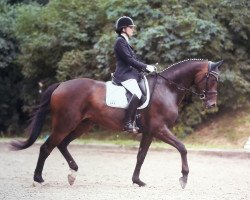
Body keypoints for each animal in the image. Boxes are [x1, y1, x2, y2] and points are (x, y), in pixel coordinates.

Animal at [10, 58, 224, 188]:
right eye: (211, 79)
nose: (212, 104)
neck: (167, 88)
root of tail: (61, 85)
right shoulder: (159, 129)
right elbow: (182, 147)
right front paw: (184, 178)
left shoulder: (149, 132)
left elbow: (141, 156)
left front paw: (137, 181)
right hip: (65, 123)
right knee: (47, 147)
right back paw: (38, 179)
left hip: (83, 125)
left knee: (61, 144)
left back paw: (72, 173)